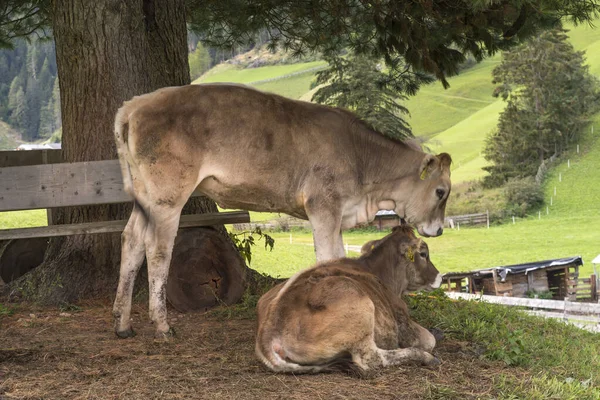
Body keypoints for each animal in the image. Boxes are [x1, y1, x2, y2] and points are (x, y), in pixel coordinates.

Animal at [112, 83, 450, 338]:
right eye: (441, 191)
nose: (439, 229)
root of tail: (136, 103)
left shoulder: (337, 213)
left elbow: (340, 257)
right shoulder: (323, 205)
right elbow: (326, 258)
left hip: (144, 194)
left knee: (131, 239)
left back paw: (122, 323)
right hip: (167, 194)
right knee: (157, 248)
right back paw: (162, 325)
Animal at [255, 223, 442, 374]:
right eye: (424, 254)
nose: (440, 277)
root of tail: (268, 331)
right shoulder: (404, 321)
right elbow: (429, 340)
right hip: (360, 308)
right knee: (372, 359)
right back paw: (425, 357)